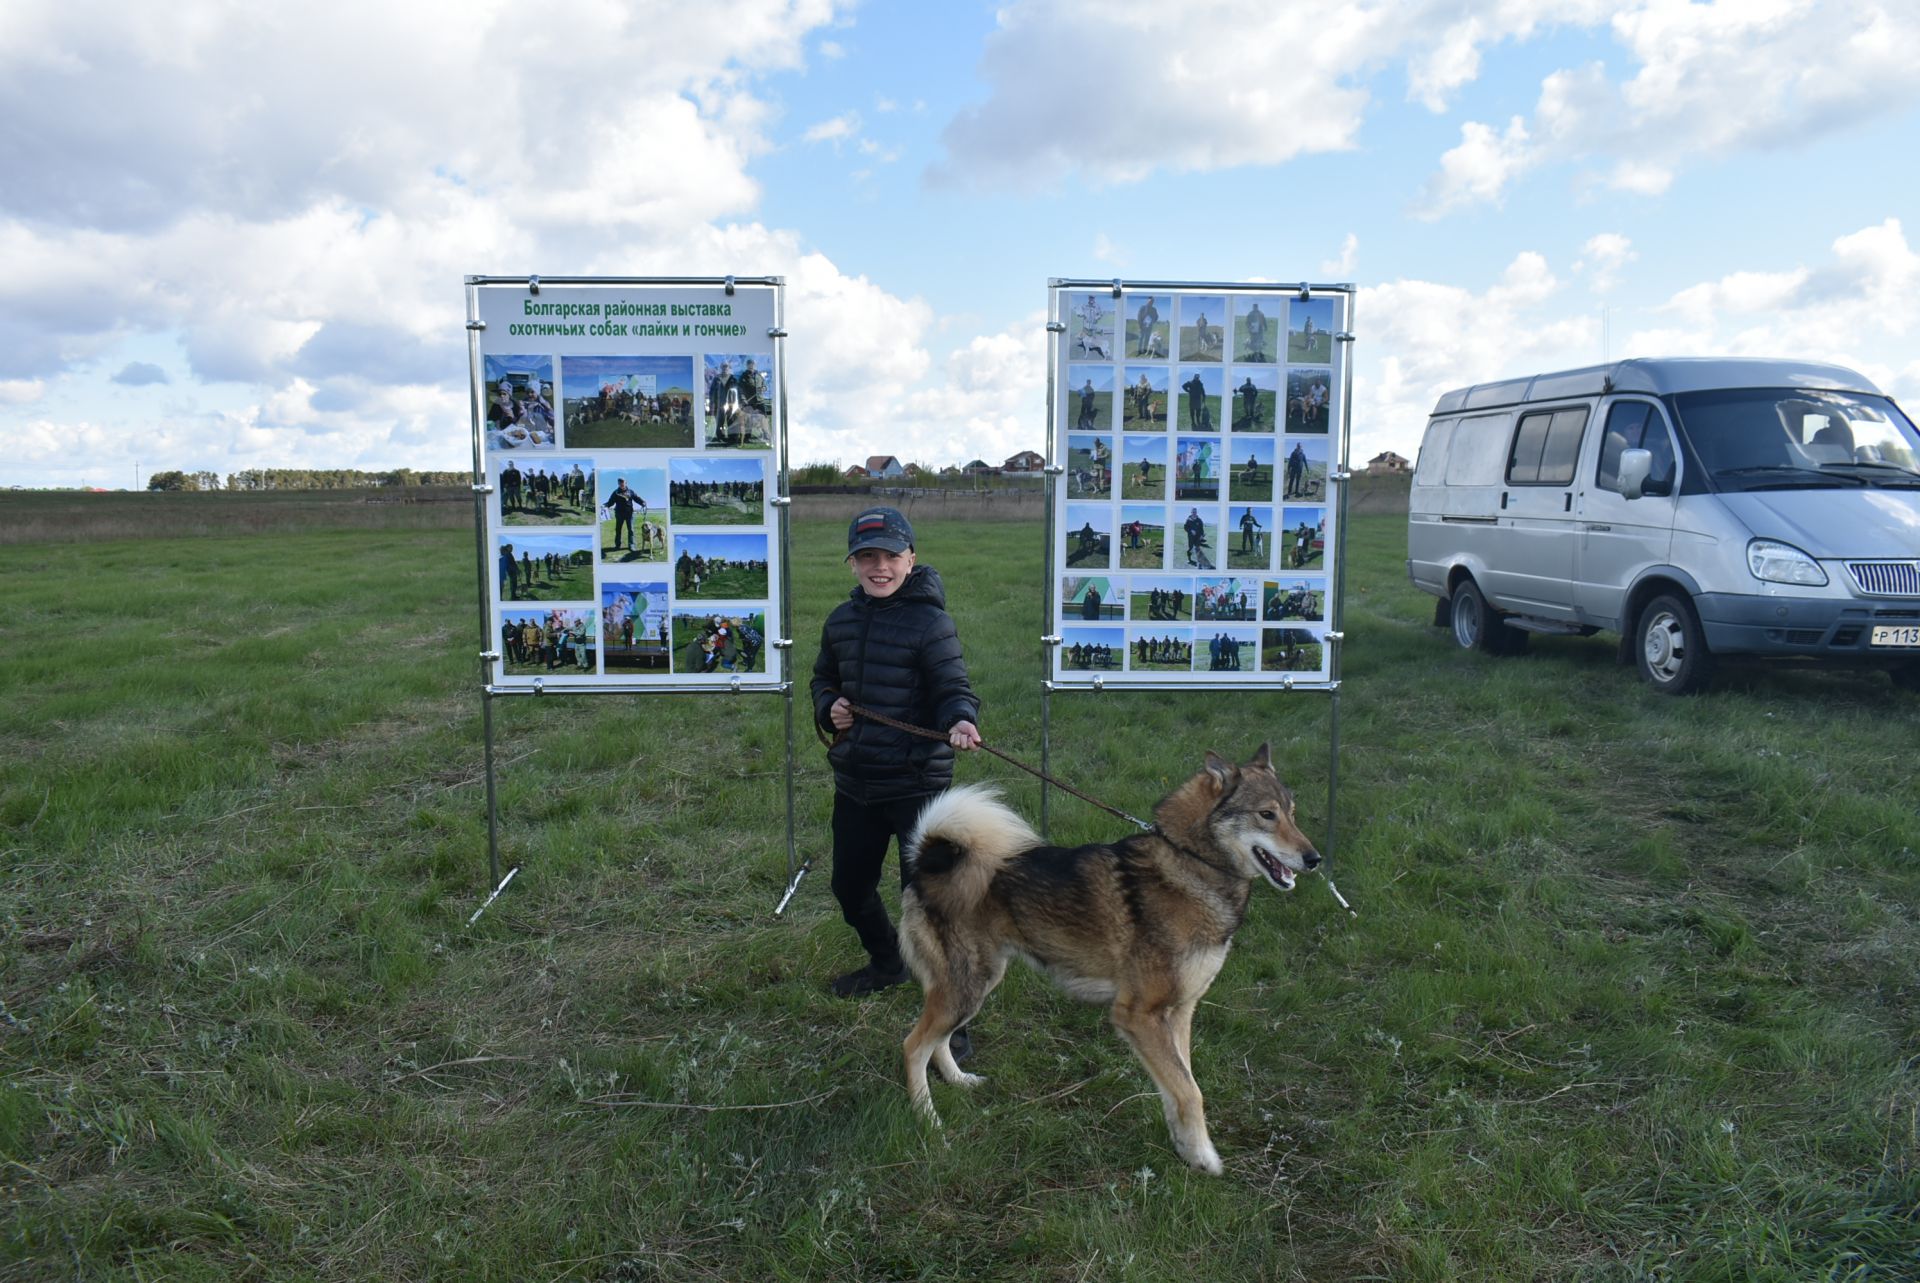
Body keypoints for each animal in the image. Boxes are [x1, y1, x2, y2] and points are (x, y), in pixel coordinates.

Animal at [898, 741, 1320, 1175]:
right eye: (1266, 814)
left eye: (1292, 813)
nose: (1314, 859)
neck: (1189, 864)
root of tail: (927, 864)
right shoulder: (1139, 1014)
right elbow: (1190, 1092)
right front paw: (1205, 1157)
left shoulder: (1179, 1013)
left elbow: (1181, 1083)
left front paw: (1185, 1147)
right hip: (968, 986)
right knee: (913, 1047)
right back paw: (930, 1123)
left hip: (973, 985)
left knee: (937, 1042)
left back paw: (959, 1081)